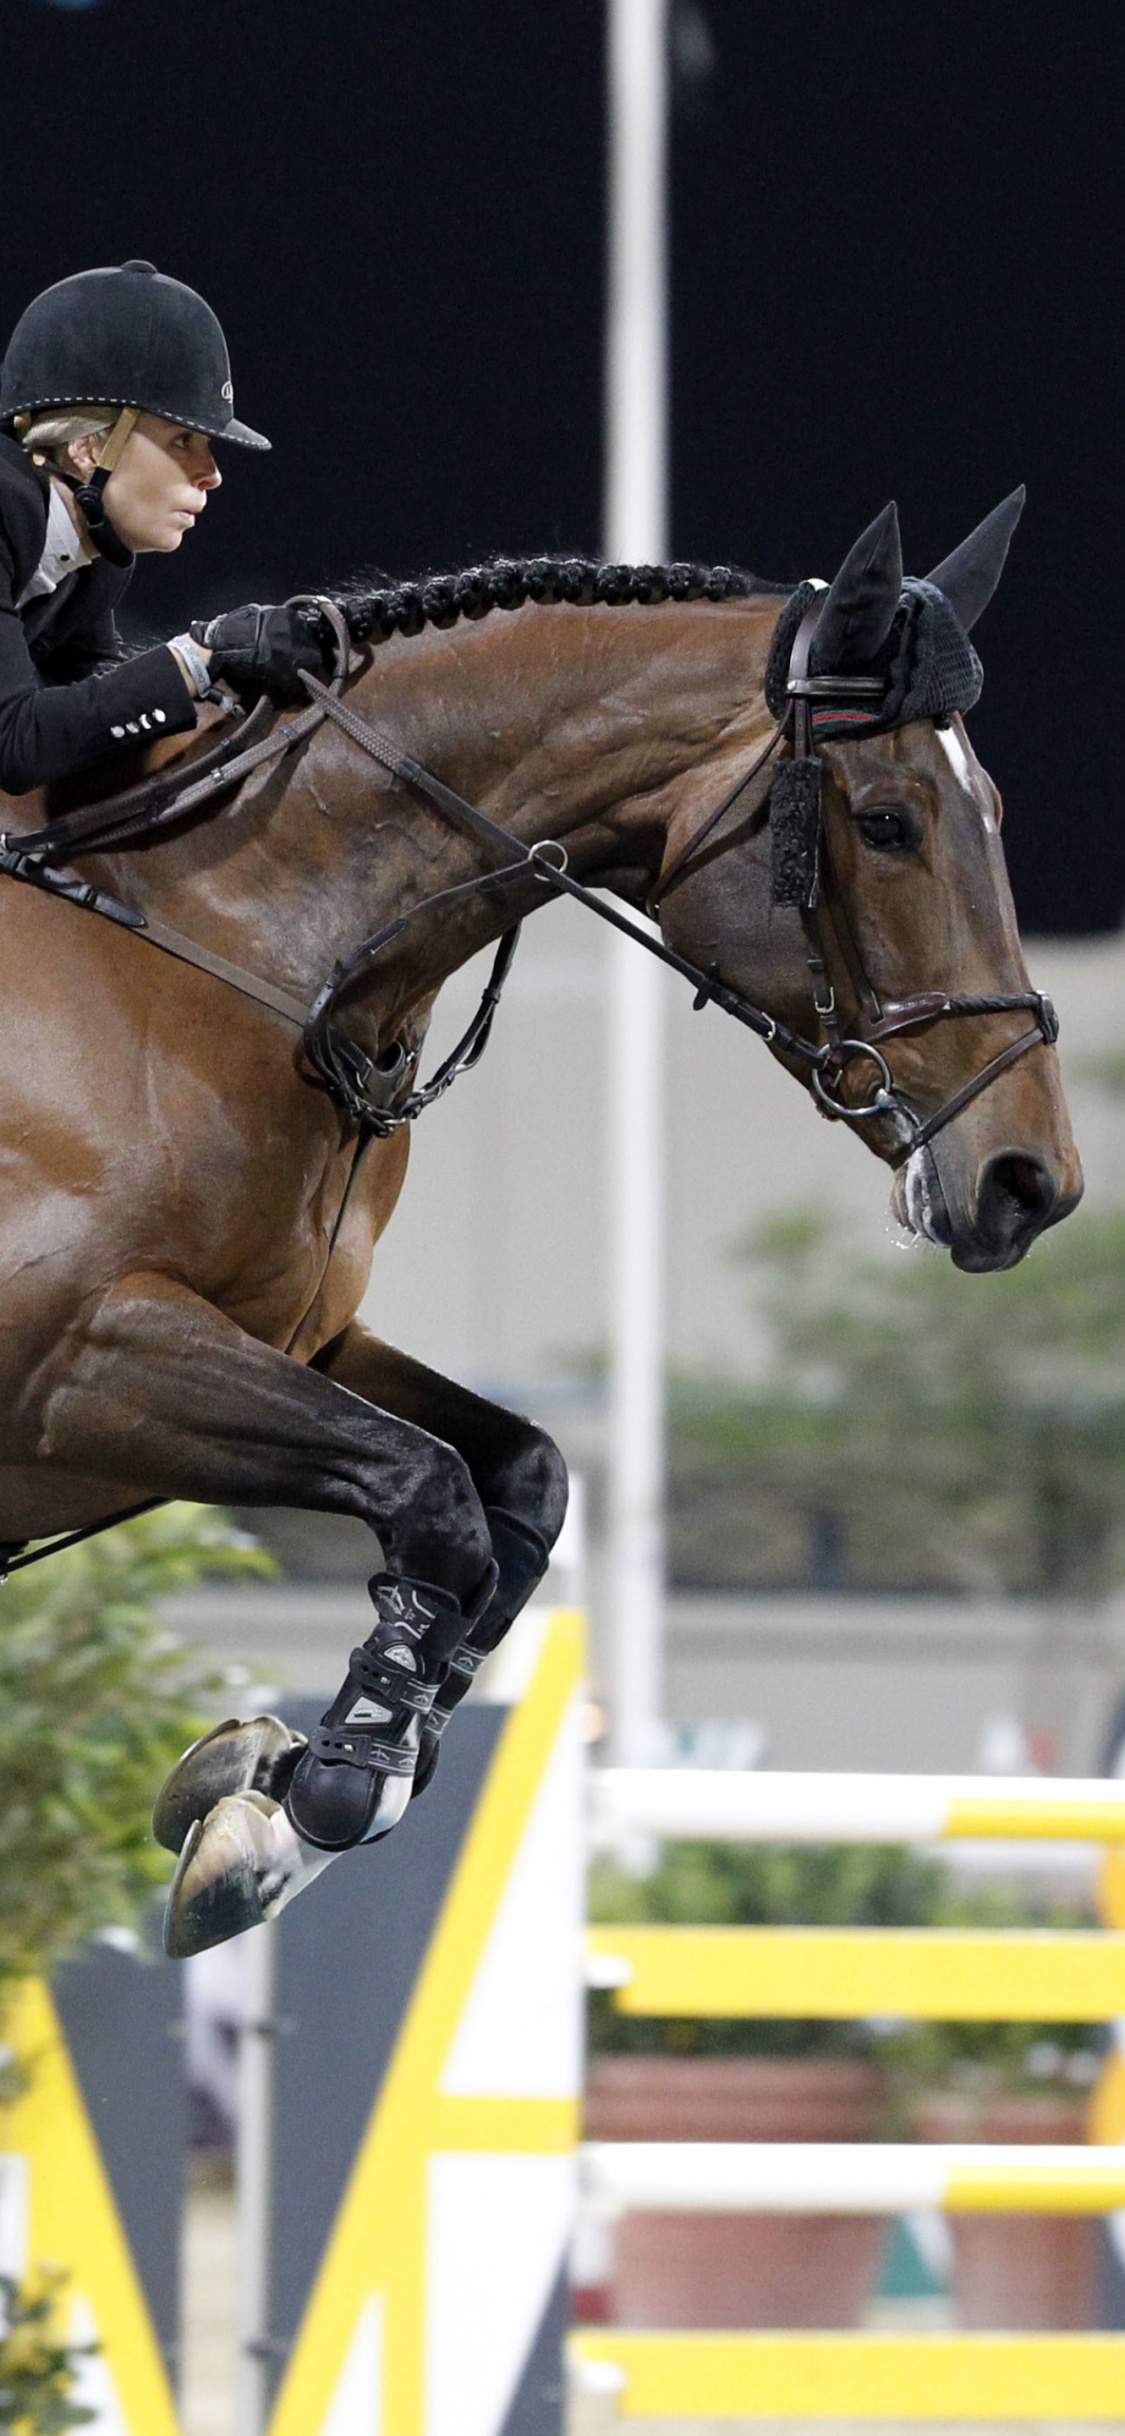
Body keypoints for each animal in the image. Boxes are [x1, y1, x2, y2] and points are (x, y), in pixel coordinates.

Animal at [0, 494, 1082, 1953]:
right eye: (891, 819)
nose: (1032, 1179)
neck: (224, 938)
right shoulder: (78, 1363)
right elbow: (430, 1490)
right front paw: (326, 1790)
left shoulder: (294, 1337)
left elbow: (516, 1475)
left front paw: (283, 1799)